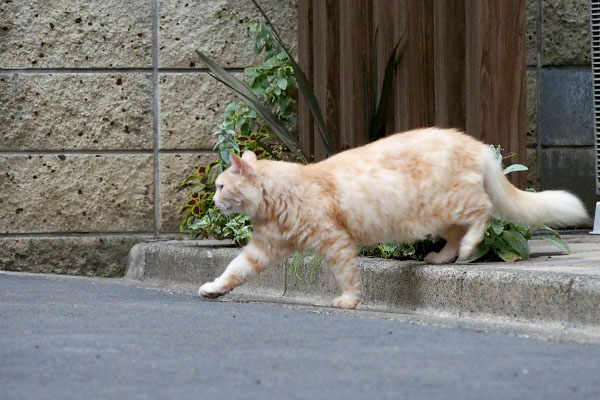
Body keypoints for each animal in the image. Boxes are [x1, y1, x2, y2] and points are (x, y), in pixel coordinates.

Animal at [196, 126, 584, 308]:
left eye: (220, 186)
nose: (213, 201)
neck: (278, 198)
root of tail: (476, 144)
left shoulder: (336, 242)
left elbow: (348, 276)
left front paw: (349, 301)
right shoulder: (263, 248)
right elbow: (234, 269)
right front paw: (214, 288)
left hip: (452, 202)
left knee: (483, 214)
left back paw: (469, 249)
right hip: (436, 215)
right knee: (457, 234)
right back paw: (442, 257)